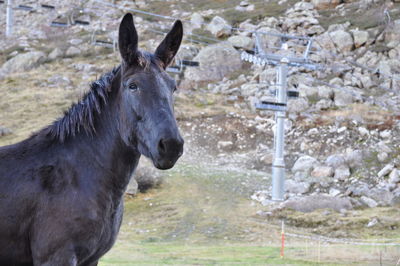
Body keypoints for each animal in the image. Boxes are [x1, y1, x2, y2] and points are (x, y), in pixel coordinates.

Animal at [0, 14, 184, 266]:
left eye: (173, 87)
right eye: (132, 86)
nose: (171, 146)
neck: (78, 175)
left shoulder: (91, 259)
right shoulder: (57, 257)